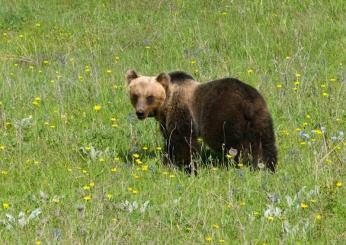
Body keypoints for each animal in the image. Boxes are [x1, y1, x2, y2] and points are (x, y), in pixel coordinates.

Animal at [125, 70, 278, 174]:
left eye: (149, 97)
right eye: (135, 95)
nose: (140, 112)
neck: (166, 105)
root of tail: (248, 102)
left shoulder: (182, 112)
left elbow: (184, 142)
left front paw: (188, 167)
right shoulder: (165, 122)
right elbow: (169, 141)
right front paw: (168, 162)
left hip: (225, 117)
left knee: (236, 145)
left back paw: (240, 164)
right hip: (261, 116)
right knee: (265, 143)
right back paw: (267, 166)